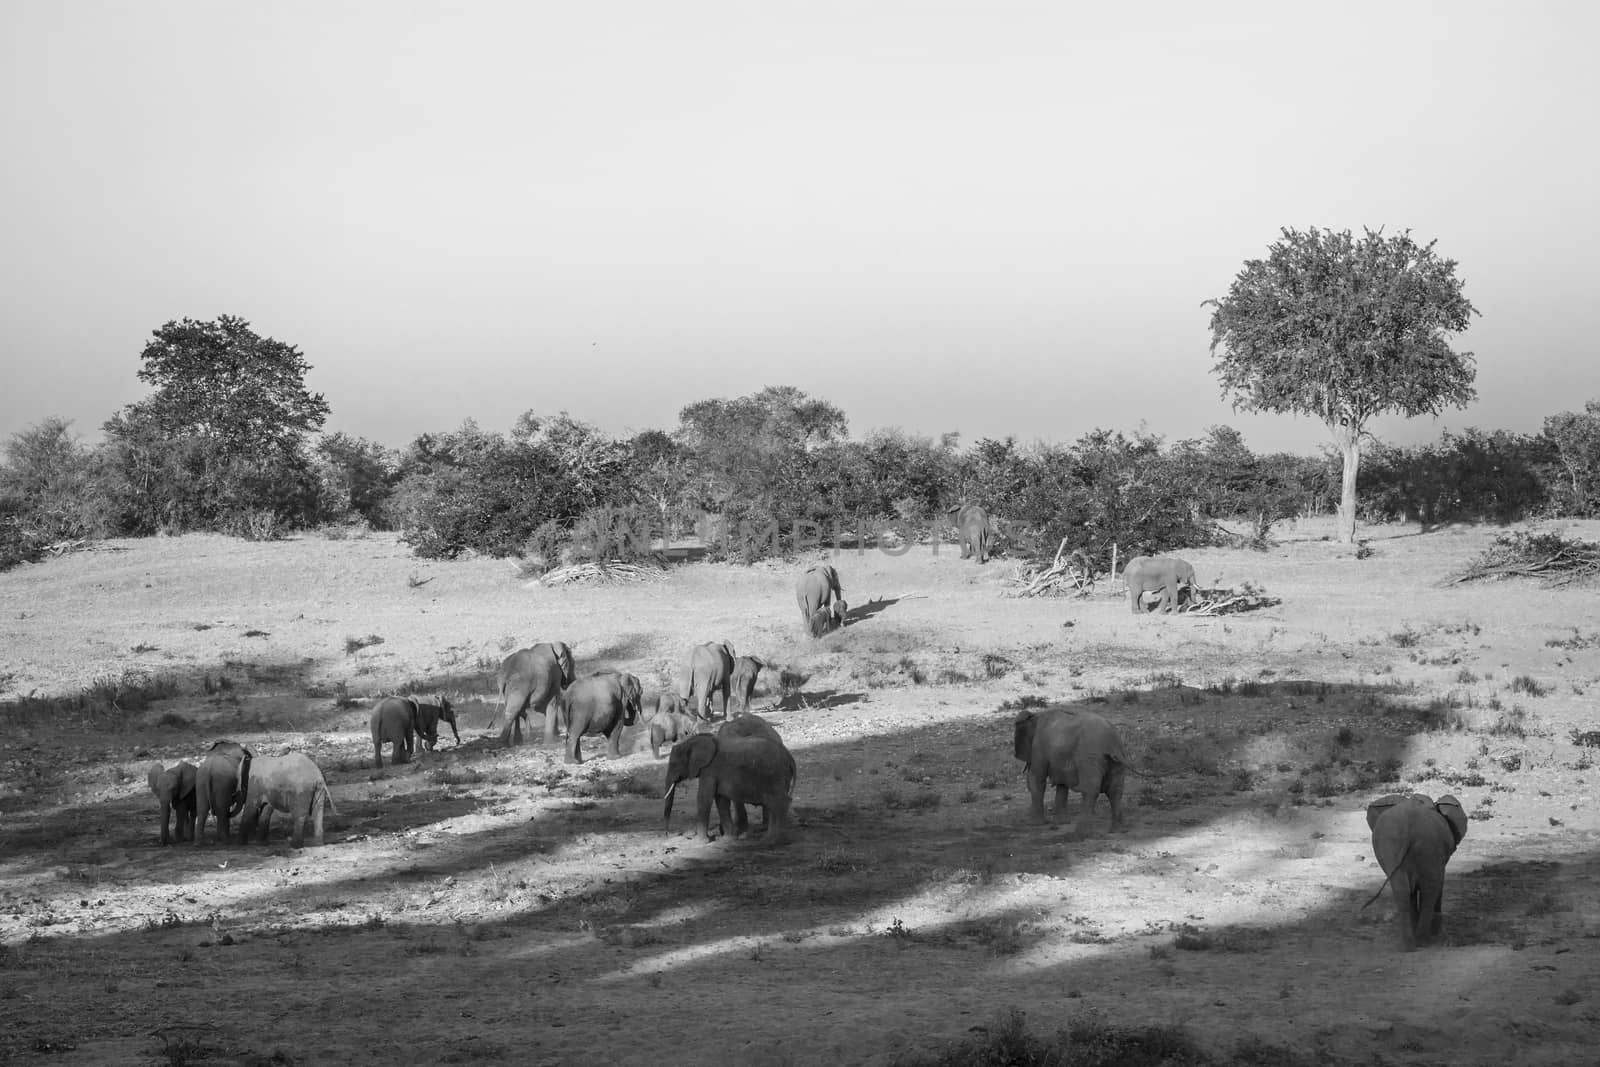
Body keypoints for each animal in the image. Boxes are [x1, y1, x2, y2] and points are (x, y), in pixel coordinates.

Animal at [662, 735, 793, 844]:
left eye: (673, 764)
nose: (668, 834)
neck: (691, 741)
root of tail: (789, 756)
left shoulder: (709, 771)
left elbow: (704, 799)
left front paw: (701, 842)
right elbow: (721, 801)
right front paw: (727, 839)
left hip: (774, 775)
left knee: (779, 802)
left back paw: (776, 841)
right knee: (772, 805)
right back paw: (767, 839)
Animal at [1363, 793, 1465, 953]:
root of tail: (1409, 828)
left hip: (1396, 847)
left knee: (1403, 891)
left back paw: (1410, 945)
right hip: (1428, 848)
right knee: (1429, 889)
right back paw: (1423, 941)